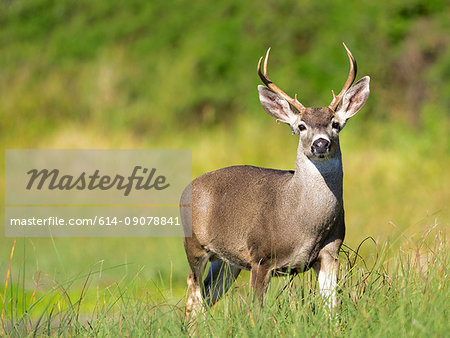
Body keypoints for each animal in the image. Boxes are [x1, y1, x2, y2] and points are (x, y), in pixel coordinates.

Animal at [179, 42, 370, 316]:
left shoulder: (330, 252)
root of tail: (188, 187)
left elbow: (331, 307)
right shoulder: (260, 255)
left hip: (229, 261)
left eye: (335, 123)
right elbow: (255, 311)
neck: (303, 223)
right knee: (193, 292)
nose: (320, 144)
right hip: (194, 245)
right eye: (301, 126)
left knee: (207, 292)